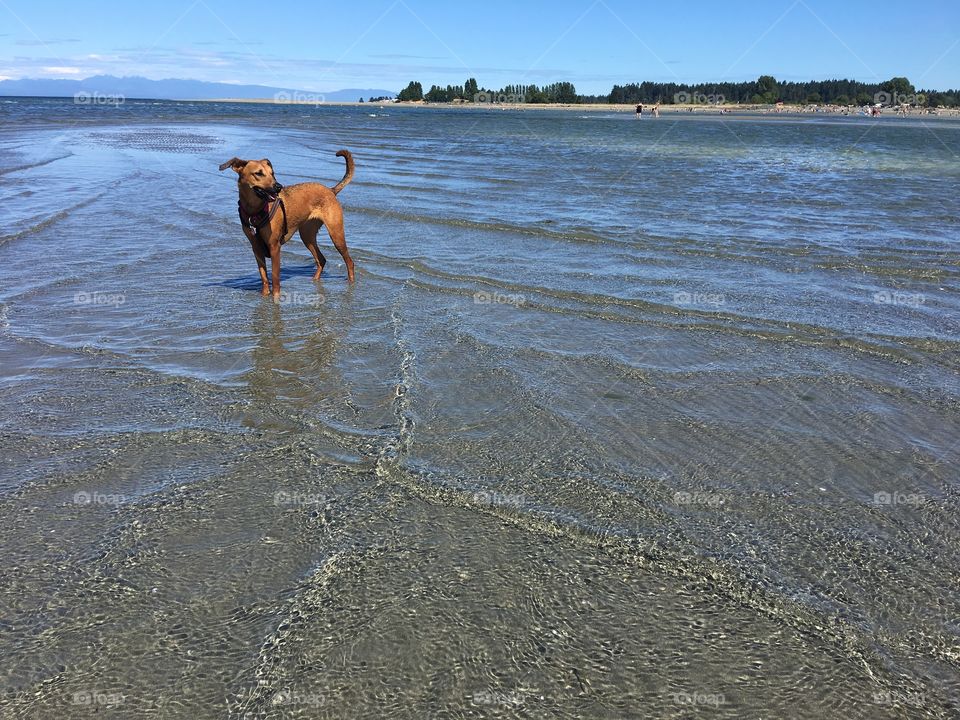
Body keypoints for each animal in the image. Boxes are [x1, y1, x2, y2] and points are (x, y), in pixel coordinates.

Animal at [220, 150, 356, 296]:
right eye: (258, 173)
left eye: (272, 173)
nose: (278, 187)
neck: (255, 210)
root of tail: (331, 190)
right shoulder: (256, 247)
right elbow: (264, 276)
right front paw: (265, 295)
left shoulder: (274, 246)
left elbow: (275, 277)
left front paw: (276, 296)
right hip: (307, 236)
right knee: (321, 260)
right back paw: (314, 281)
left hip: (336, 234)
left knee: (349, 262)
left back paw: (351, 284)